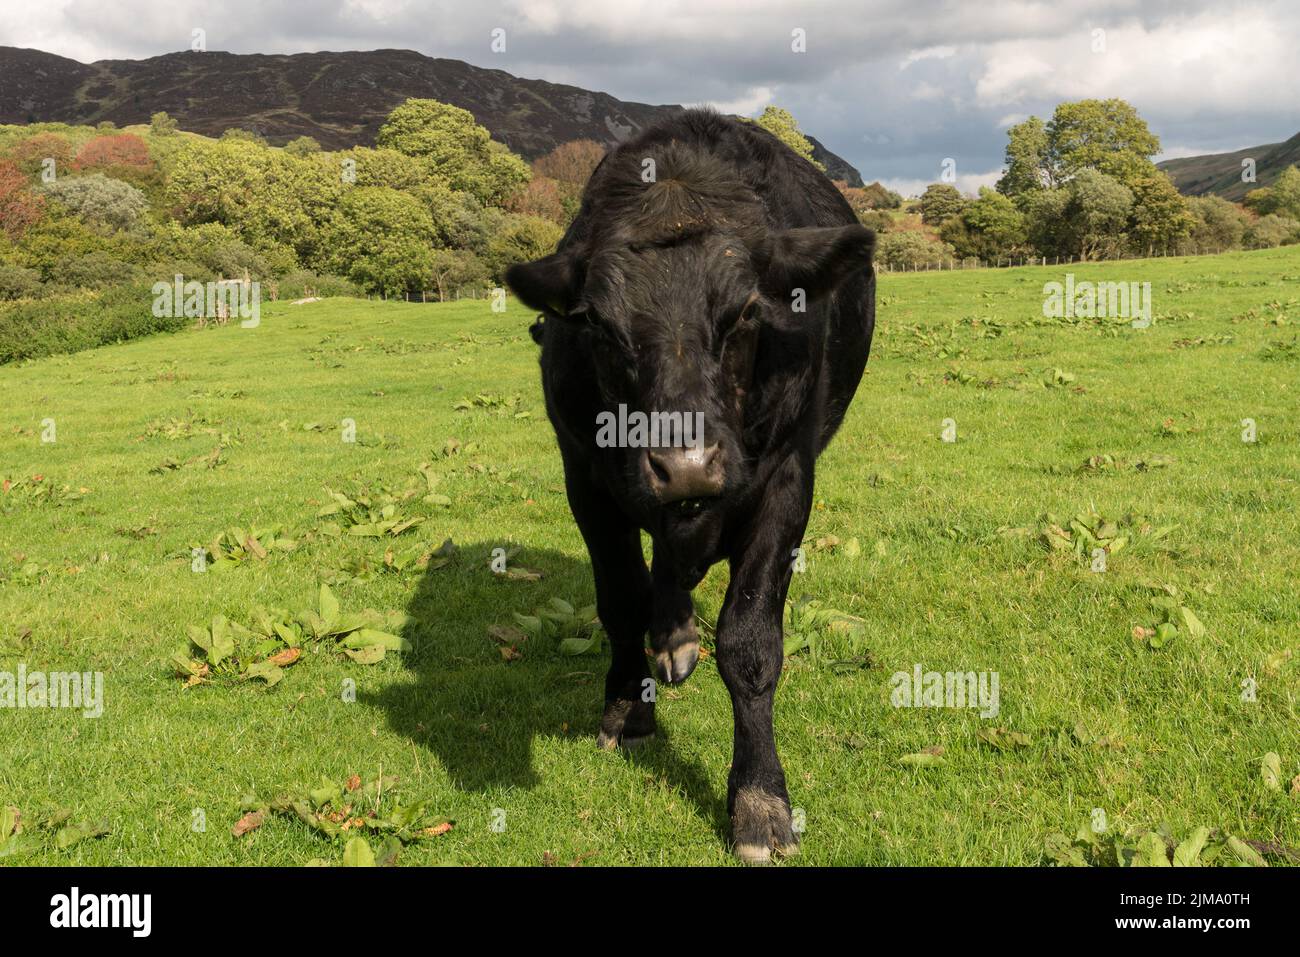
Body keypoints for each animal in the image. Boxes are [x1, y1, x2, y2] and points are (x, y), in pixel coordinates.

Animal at [501, 108, 878, 863]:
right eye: (599, 325)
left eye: (746, 313)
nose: (687, 464)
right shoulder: (586, 476)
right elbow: (621, 600)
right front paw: (627, 704)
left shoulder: (787, 478)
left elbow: (751, 642)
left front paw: (760, 800)